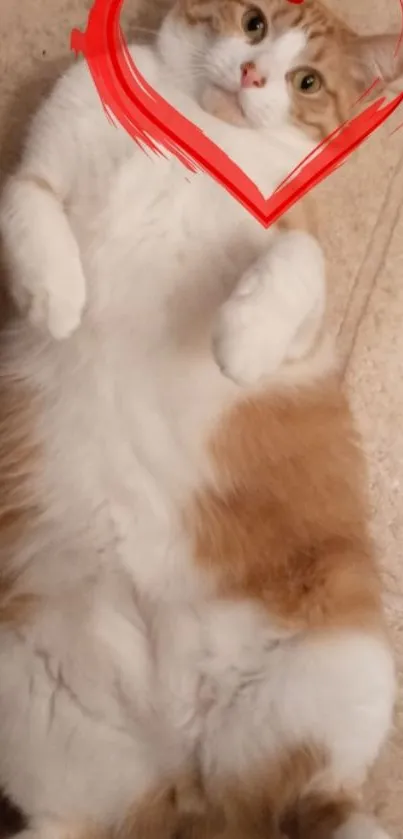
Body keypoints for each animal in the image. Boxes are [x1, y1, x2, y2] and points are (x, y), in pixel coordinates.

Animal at [0, 0, 402, 836]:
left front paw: (240, 339)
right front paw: (55, 296)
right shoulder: (40, 163)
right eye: (252, 24)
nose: (251, 74)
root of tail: (184, 783)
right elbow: (26, 202)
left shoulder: (304, 304)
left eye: (305, 81)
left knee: (321, 803)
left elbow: (298, 264)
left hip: (346, 665)